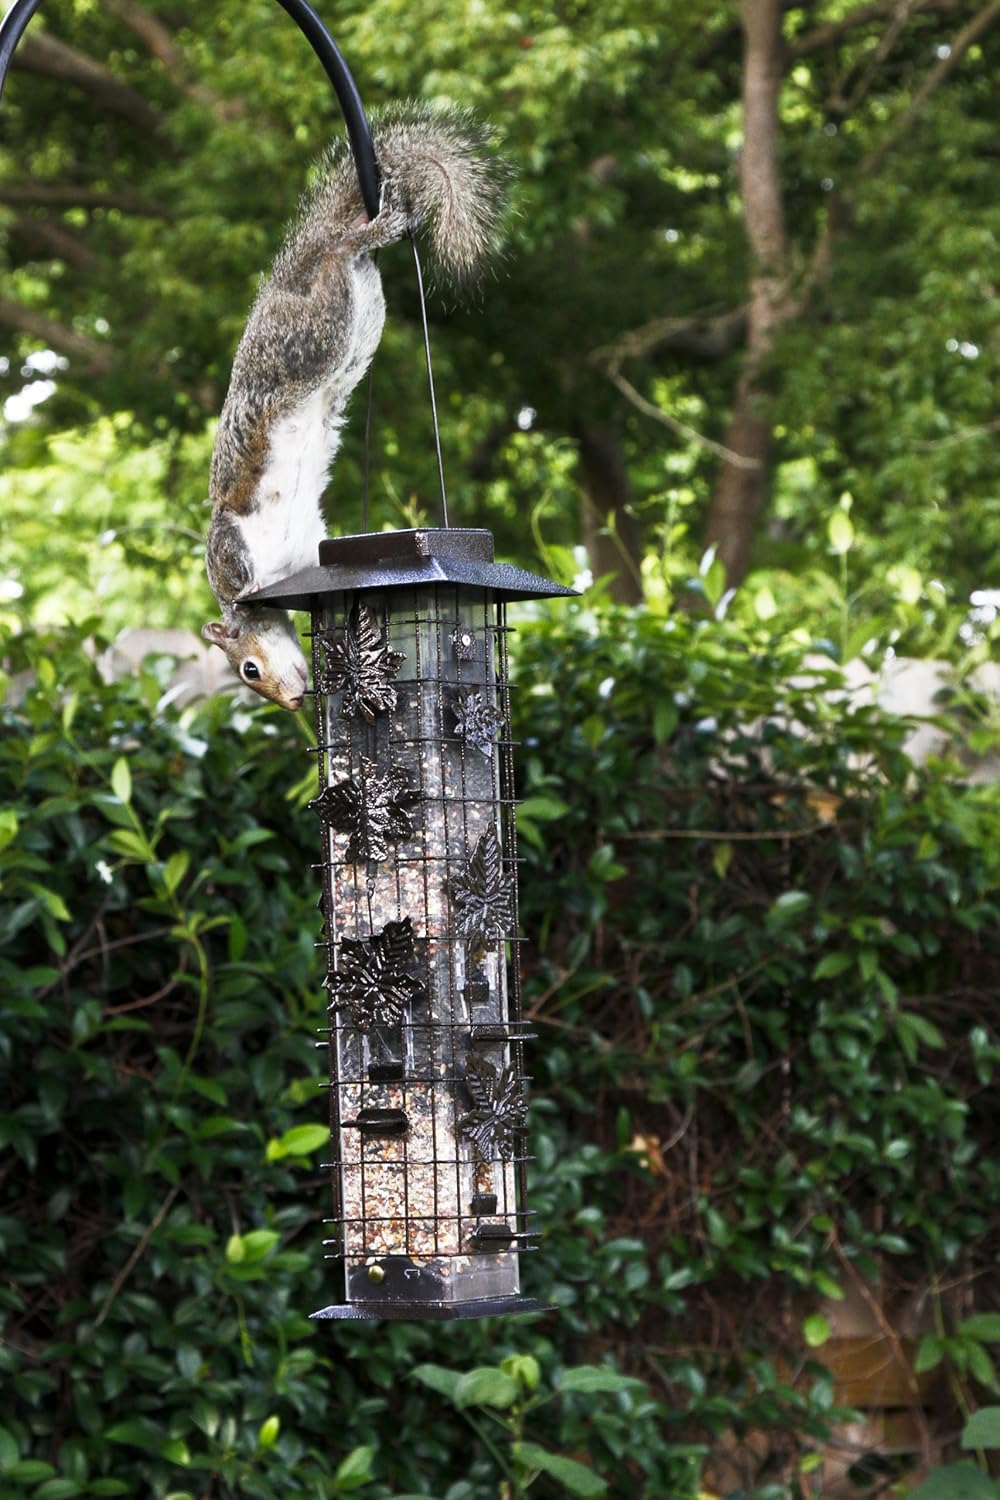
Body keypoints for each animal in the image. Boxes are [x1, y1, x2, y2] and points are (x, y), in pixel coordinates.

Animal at [202, 105, 505, 710]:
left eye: (249, 669)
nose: (295, 702)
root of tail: (289, 282)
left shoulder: (228, 544)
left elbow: (237, 569)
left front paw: (251, 591)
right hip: (360, 324)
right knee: (350, 267)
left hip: (311, 337)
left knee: (342, 252)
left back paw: (368, 231)